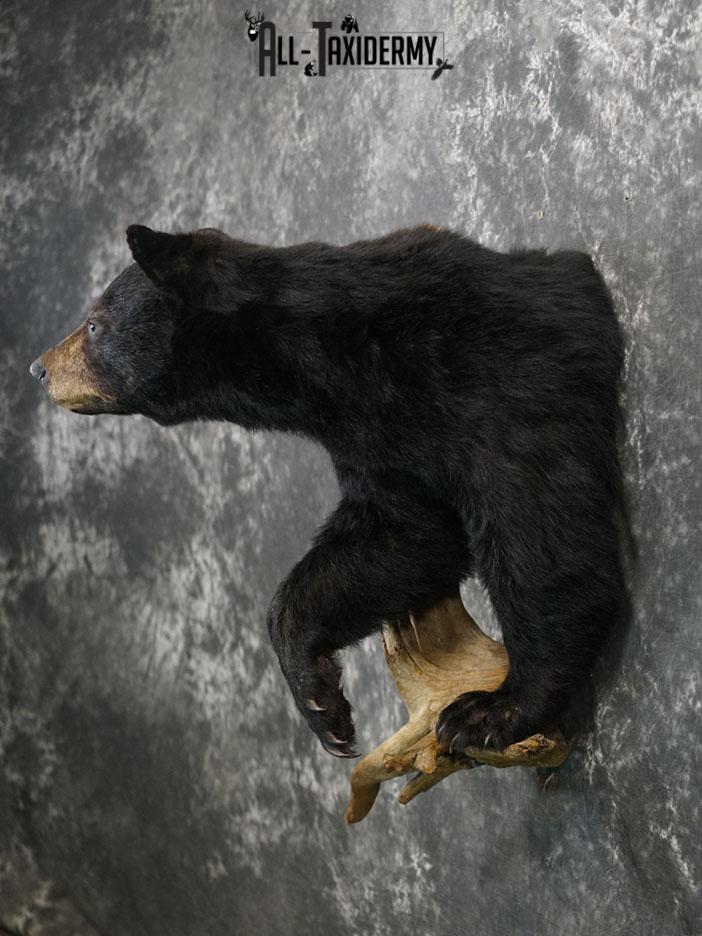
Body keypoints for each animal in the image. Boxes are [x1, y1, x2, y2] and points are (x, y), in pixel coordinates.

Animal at [30, 223, 627, 759]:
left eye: (93, 324)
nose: (38, 368)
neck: (343, 362)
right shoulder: (375, 444)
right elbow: (406, 536)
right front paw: (321, 705)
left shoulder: (485, 377)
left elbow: (535, 521)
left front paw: (493, 710)